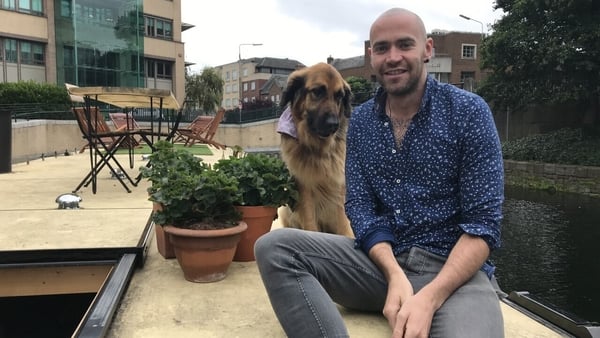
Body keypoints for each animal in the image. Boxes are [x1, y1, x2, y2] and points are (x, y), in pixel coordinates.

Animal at [278, 63, 354, 238]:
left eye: (339, 96)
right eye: (317, 92)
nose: (333, 124)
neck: (319, 148)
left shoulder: (340, 185)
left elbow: (343, 220)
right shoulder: (304, 187)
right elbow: (310, 221)